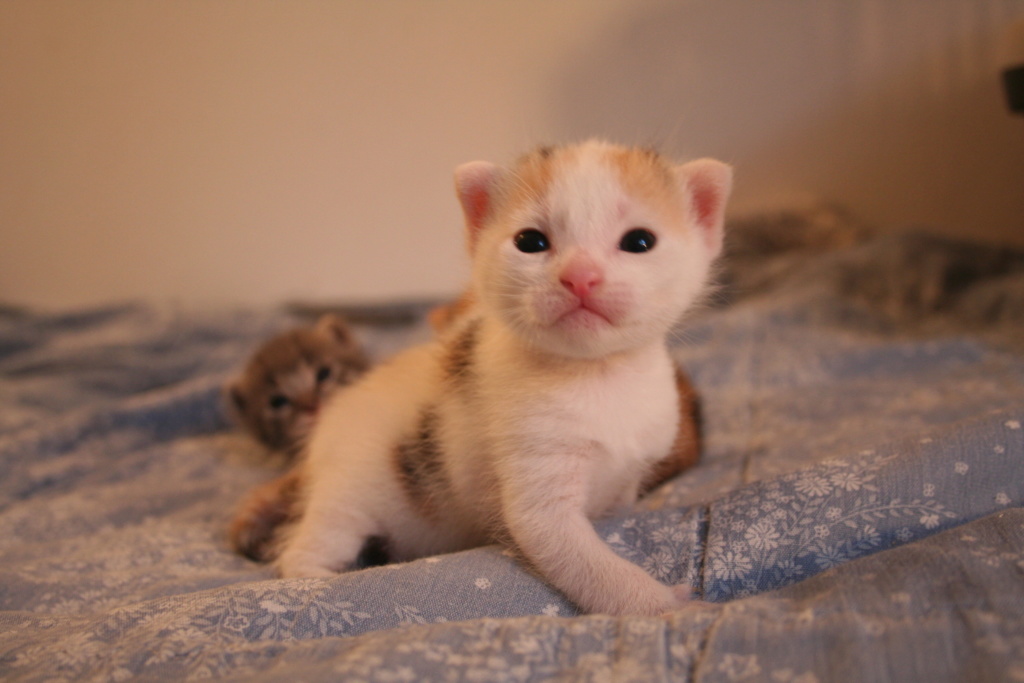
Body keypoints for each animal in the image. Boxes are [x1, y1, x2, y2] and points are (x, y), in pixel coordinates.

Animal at [276, 141, 733, 618]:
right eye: (530, 242)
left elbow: (618, 507)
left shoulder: (631, 473)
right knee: (309, 547)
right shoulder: (535, 466)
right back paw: (322, 581)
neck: (598, 373)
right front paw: (666, 605)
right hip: (345, 493)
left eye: (639, 242)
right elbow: (586, 562)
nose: (580, 276)